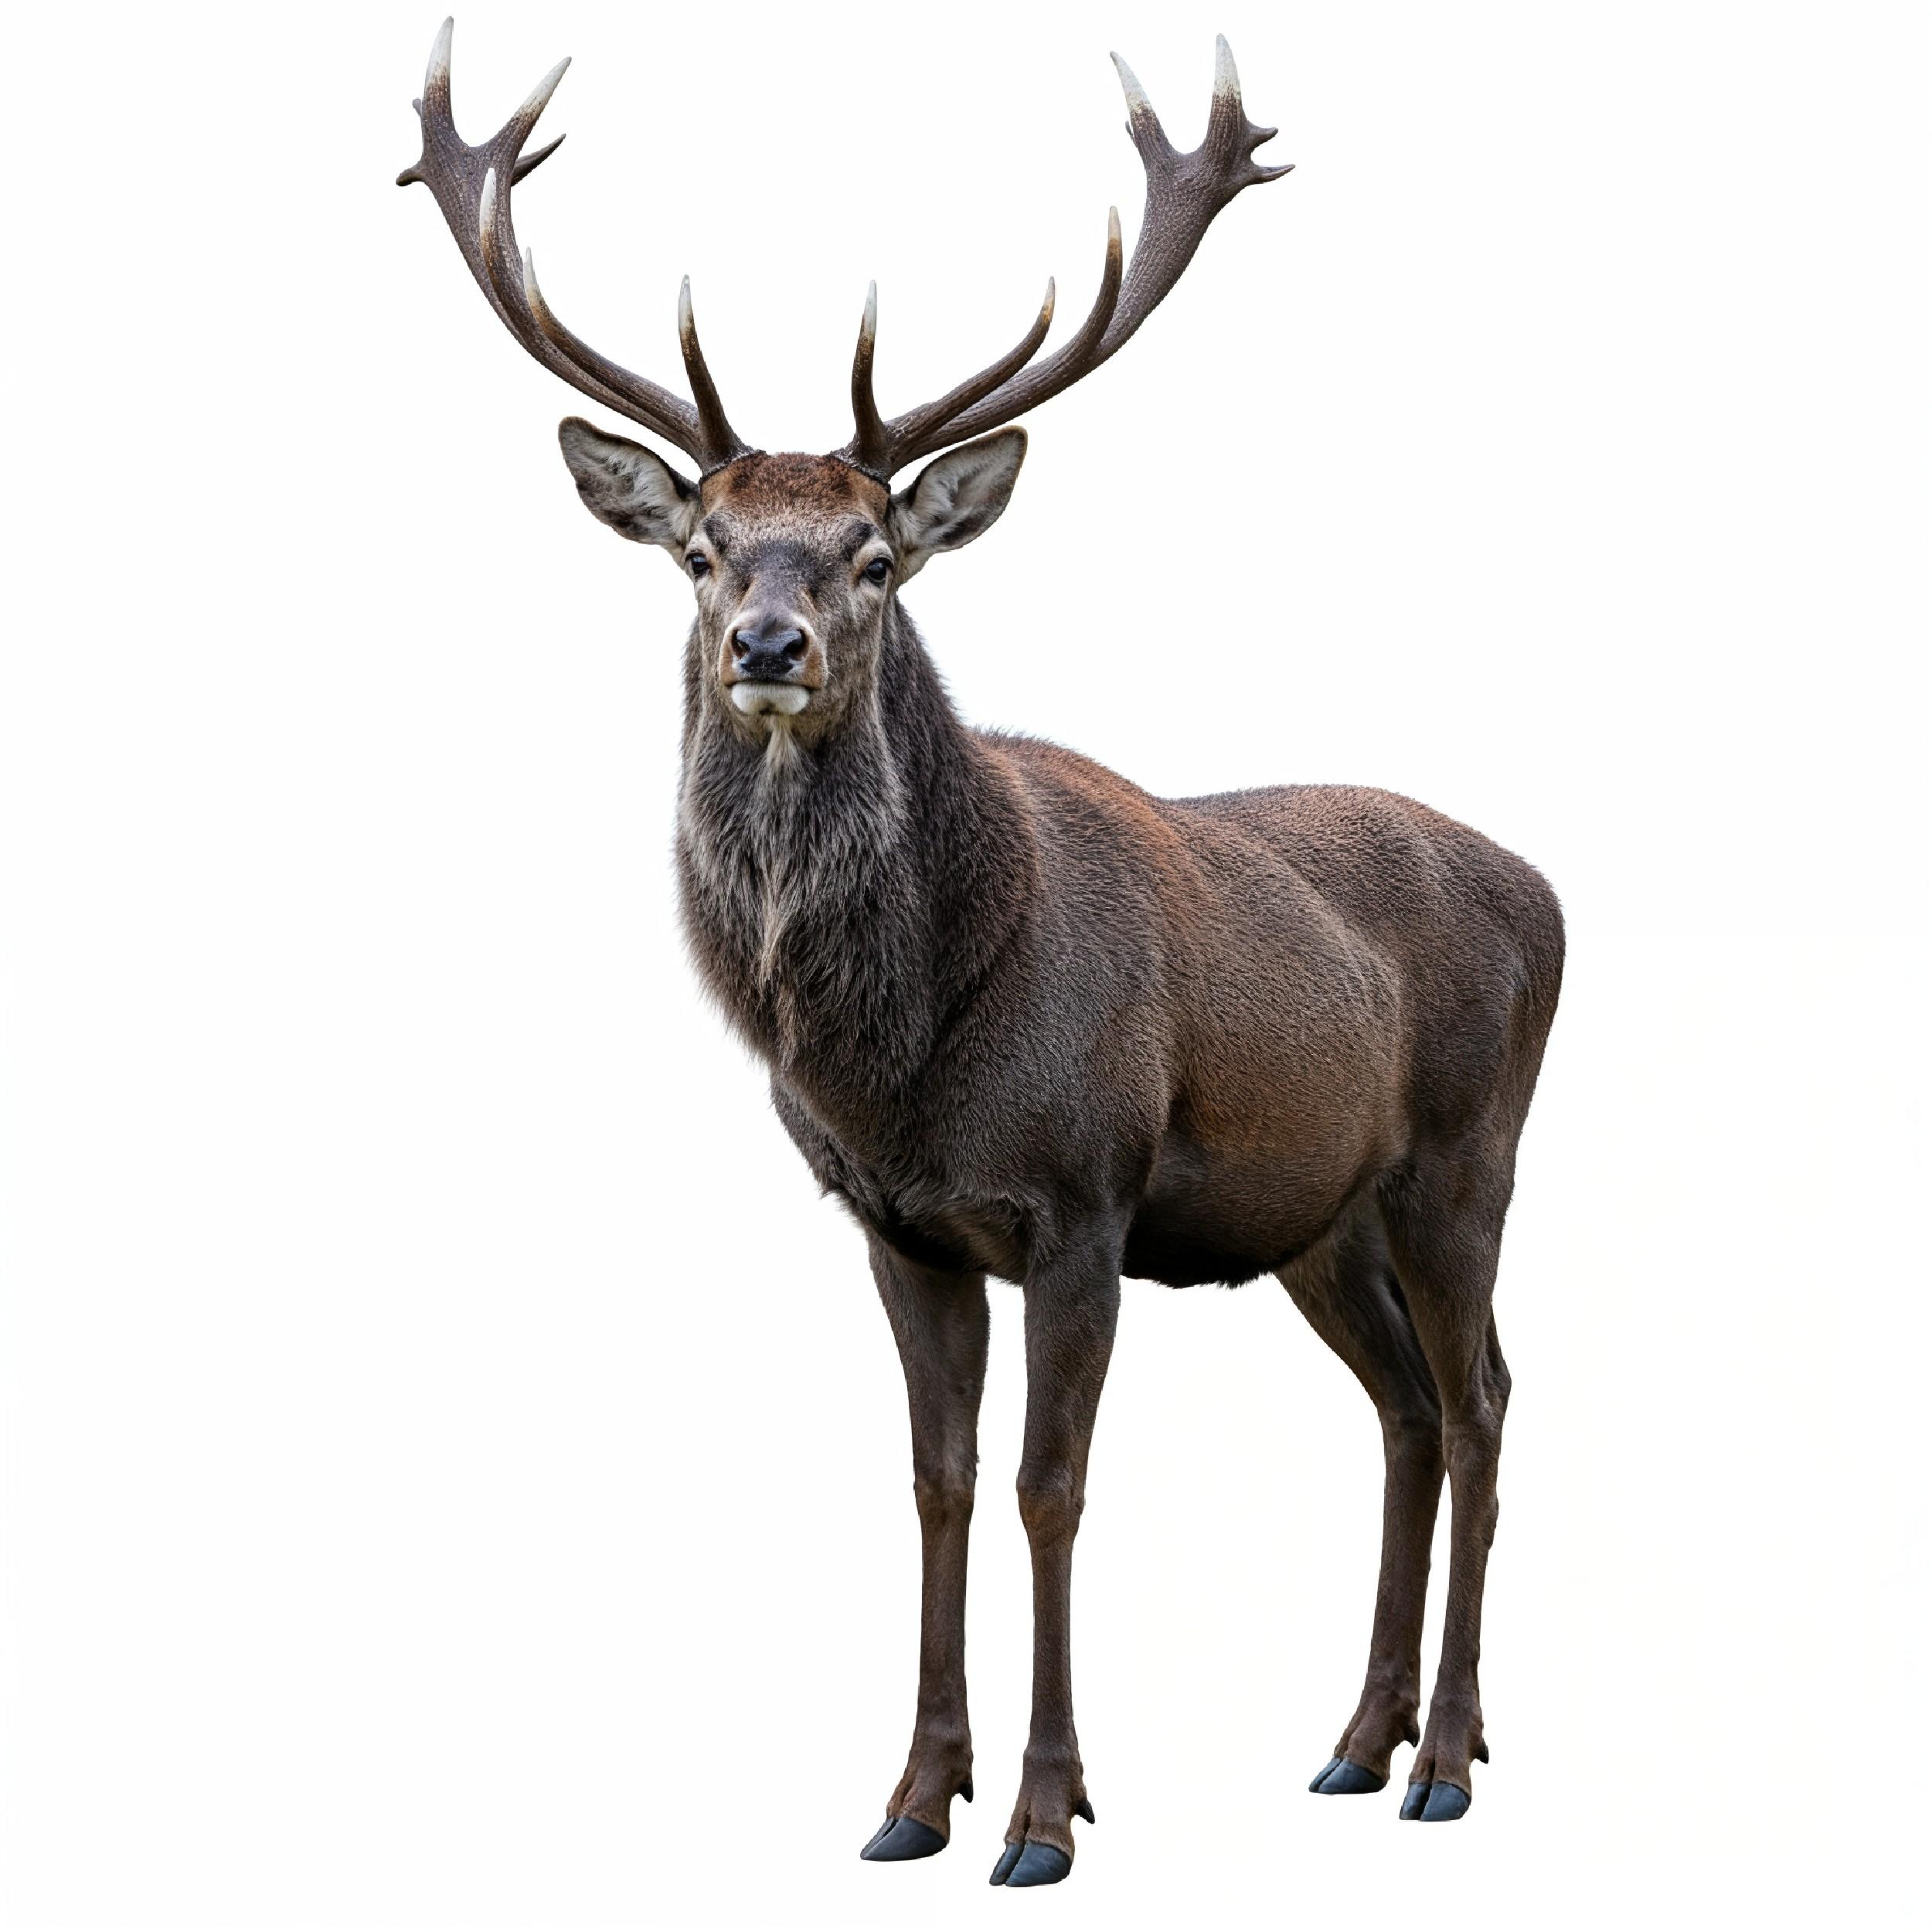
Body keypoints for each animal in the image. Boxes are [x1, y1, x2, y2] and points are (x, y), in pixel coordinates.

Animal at [398, 19, 1564, 1887]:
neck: (903, 1055)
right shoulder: (898, 1226)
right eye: (701, 550)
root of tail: (1552, 888)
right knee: (1397, 1408)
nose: (769, 645)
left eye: (875, 555)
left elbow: (1046, 1487)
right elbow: (937, 1482)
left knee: (1483, 1402)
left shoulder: (1081, 1200)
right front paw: (907, 1797)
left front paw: (1041, 1813)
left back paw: (1448, 1756)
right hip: (1319, 1214)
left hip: (1471, 1156)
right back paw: (1353, 1738)